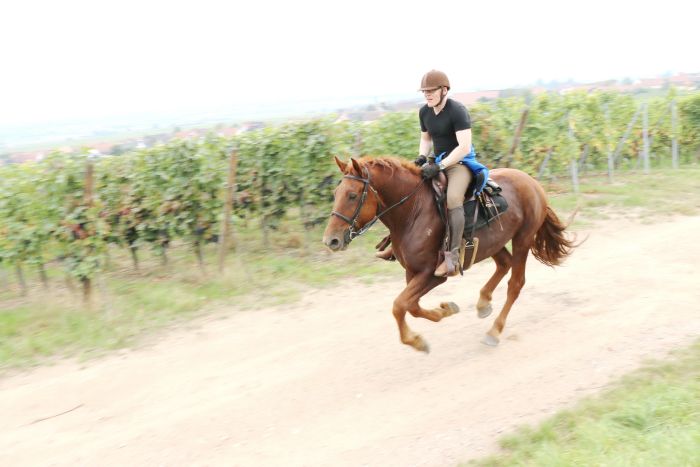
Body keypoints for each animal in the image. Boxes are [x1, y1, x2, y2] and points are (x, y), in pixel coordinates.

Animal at [322, 155, 576, 352]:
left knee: (516, 283)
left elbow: (399, 305)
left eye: (352, 195)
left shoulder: (431, 274)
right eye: (336, 193)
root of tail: (532, 182)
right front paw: (444, 311)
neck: (412, 212)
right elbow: (411, 306)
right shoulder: (412, 273)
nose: (331, 240)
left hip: (523, 239)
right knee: (504, 263)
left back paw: (494, 331)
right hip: (493, 243)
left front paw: (416, 340)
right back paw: (483, 303)